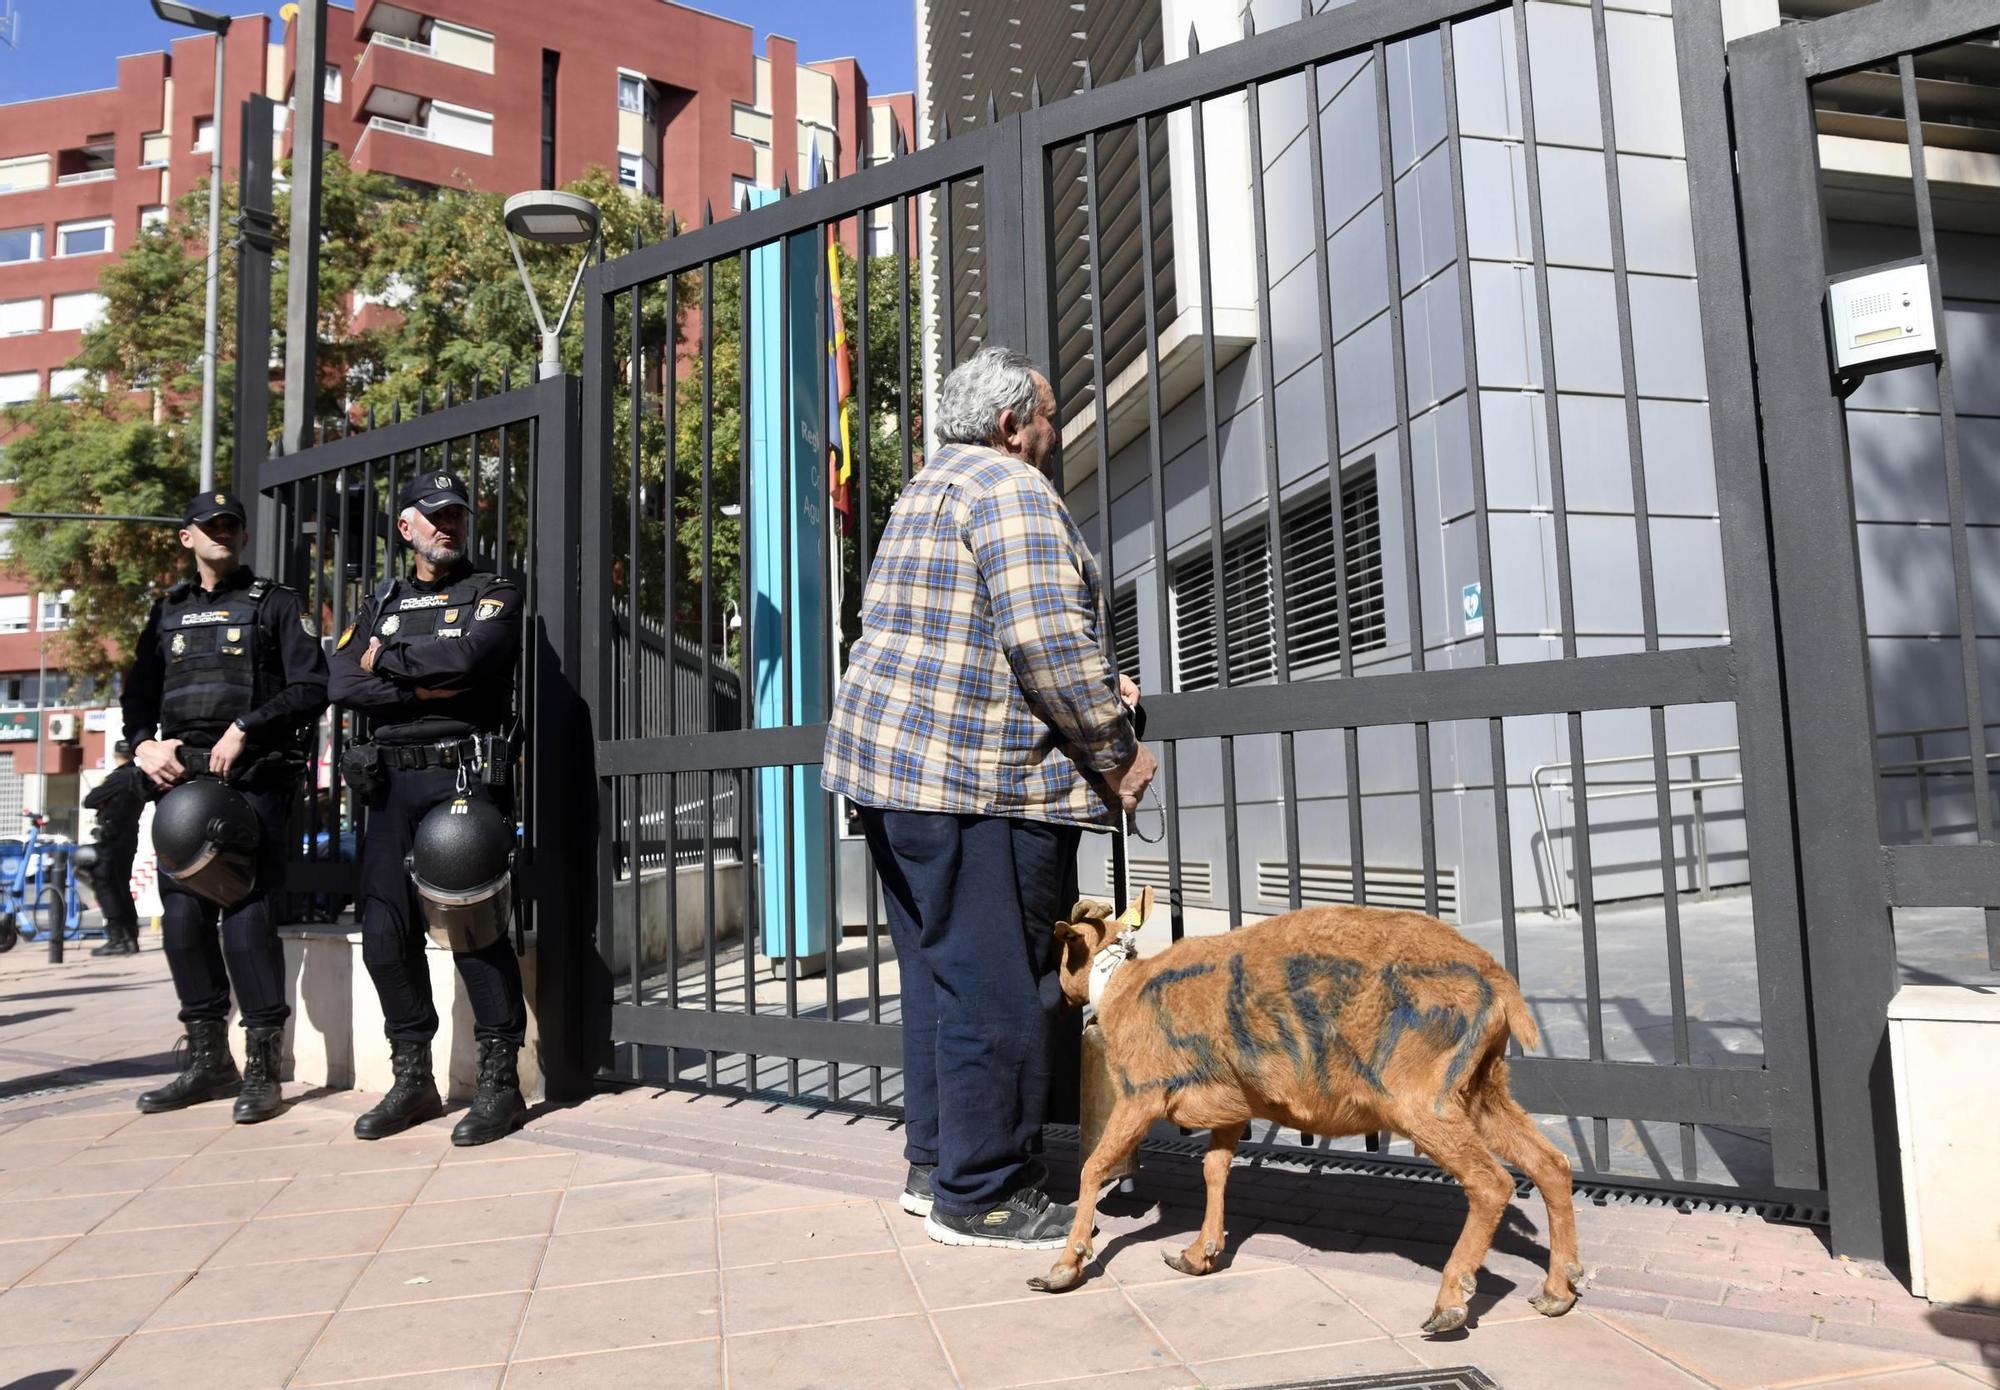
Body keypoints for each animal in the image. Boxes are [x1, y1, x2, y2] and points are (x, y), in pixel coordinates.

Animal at [1032, 892, 1576, 1336]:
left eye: (1061, 949)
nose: (1051, 991)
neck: (1121, 986)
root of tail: (1499, 986)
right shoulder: (1235, 1105)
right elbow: (1215, 1169)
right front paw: (1197, 1254)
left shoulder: (1141, 1094)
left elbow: (1095, 1167)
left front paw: (1063, 1268)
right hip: (1481, 1086)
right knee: (1550, 1164)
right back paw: (1559, 1289)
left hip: (1421, 1097)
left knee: (1491, 1182)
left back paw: (1450, 1304)